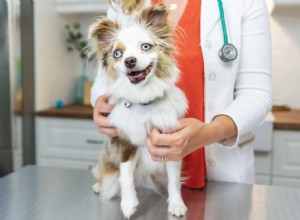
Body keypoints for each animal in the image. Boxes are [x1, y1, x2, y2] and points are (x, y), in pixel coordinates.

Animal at [88, 3, 188, 218]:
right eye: (117, 54)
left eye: (145, 46)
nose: (130, 61)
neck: (144, 100)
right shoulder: (125, 143)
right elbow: (126, 175)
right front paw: (128, 204)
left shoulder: (171, 143)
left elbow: (174, 179)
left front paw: (176, 204)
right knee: (104, 172)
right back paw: (98, 186)